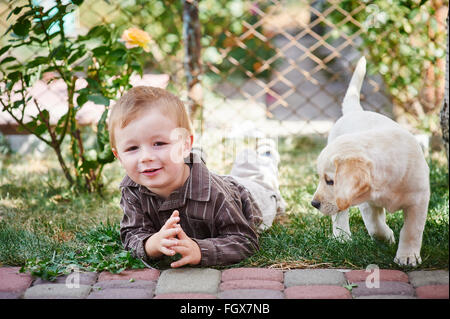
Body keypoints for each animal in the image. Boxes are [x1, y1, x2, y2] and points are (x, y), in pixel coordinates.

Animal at [312, 57, 430, 268]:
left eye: (330, 181)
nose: (313, 203)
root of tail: (354, 112)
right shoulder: (366, 202)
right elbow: (374, 225)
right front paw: (387, 236)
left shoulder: (419, 199)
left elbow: (412, 229)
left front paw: (407, 256)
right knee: (340, 214)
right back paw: (342, 237)